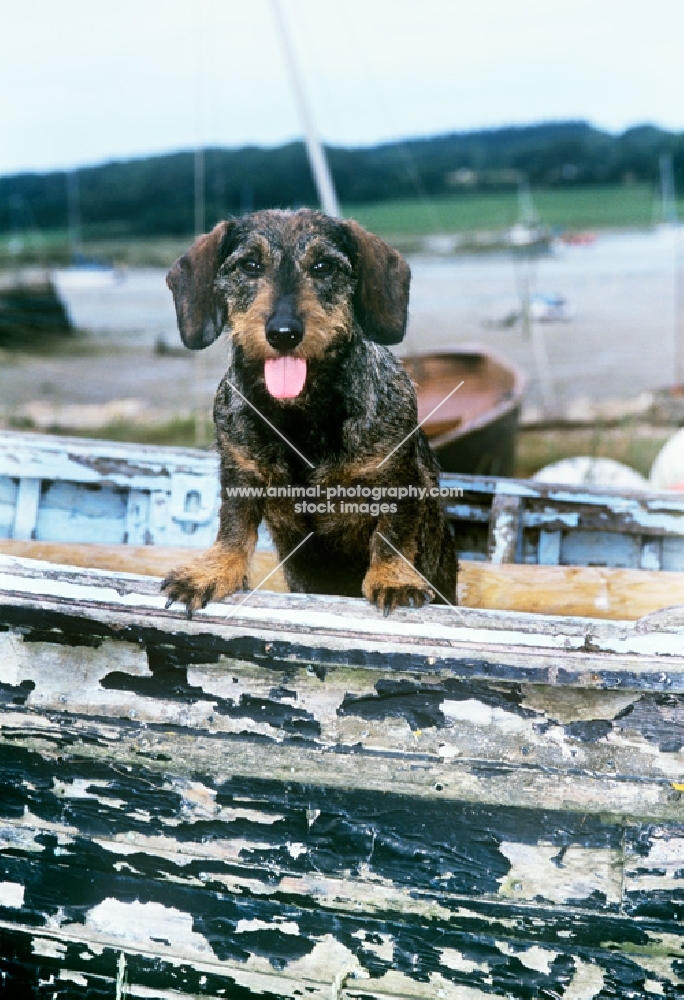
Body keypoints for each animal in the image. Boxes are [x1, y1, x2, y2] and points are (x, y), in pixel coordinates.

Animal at [162, 210, 456, 612]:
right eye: (249, 265)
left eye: (323, 266)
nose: (284, 333)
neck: (301, 414)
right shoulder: (240, 474)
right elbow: (234, 529)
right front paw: (212, 571)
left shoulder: (398, 478)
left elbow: (392, 534)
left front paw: (393, 578)